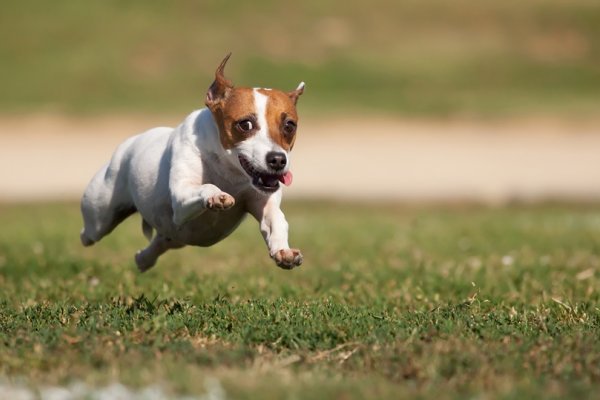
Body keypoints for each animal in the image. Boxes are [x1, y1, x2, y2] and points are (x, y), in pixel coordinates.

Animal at [79, 53, 304, 270]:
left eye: (289, 125)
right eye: (245, 124)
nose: (278, 160)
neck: (228, 170)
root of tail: (130, 142)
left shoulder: (263, 203)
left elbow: (276, 220)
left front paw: (283, 252)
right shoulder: (181, 198)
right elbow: (205, 187)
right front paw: (216, 195)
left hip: (175, 236)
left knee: (160, 243)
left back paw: (143, 260)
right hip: (99, 215)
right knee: (89, 233)